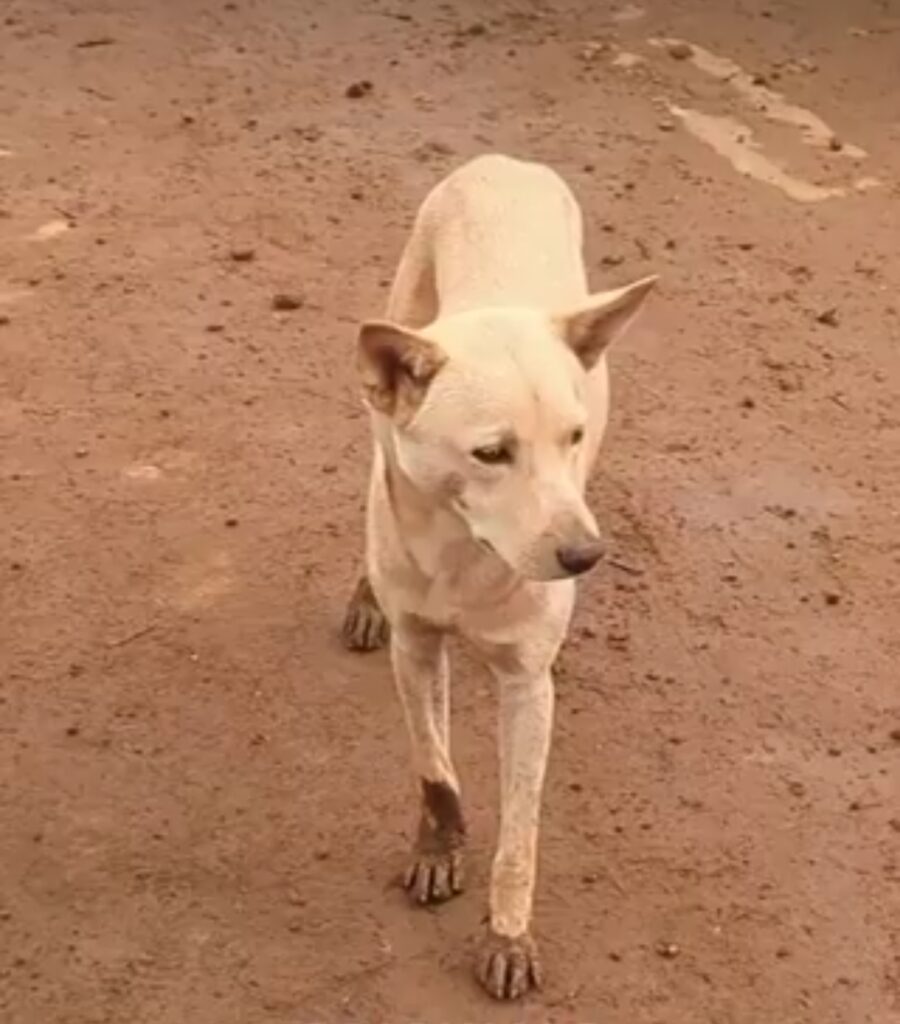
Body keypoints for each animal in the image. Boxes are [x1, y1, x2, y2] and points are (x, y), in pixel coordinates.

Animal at [342, 154, 656, 1000]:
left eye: (570, 437)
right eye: (490, 453)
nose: (586, 557)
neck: (465, 552)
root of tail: (503, 164)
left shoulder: (527, 686)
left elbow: (521, 830)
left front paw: (508, 935)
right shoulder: (416, 648)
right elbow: (434, 766)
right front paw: (439, 846)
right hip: (385, 377)